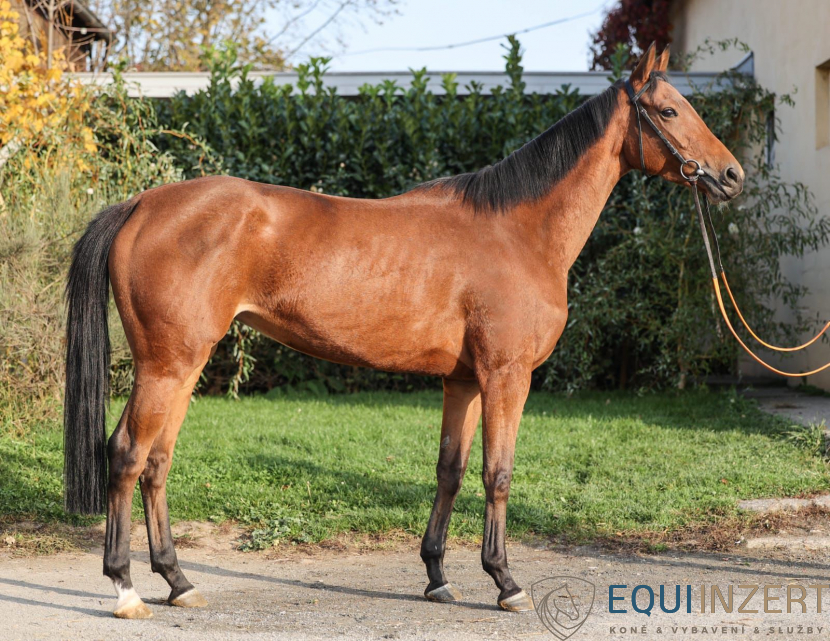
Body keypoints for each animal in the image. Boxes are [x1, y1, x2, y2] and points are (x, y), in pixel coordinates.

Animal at [63, 43, 744, 619]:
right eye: (668, 110)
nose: (731, 175)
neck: (518, 231)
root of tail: (141, 205)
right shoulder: (505, 376)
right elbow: (498, 474)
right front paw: (506, 583)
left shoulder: (462, 381)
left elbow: (450, 470)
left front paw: (438, 577)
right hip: (167, 365)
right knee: (126, 455)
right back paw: (126, 589)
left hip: (185, 366)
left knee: (157, 464)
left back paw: (179, 581)